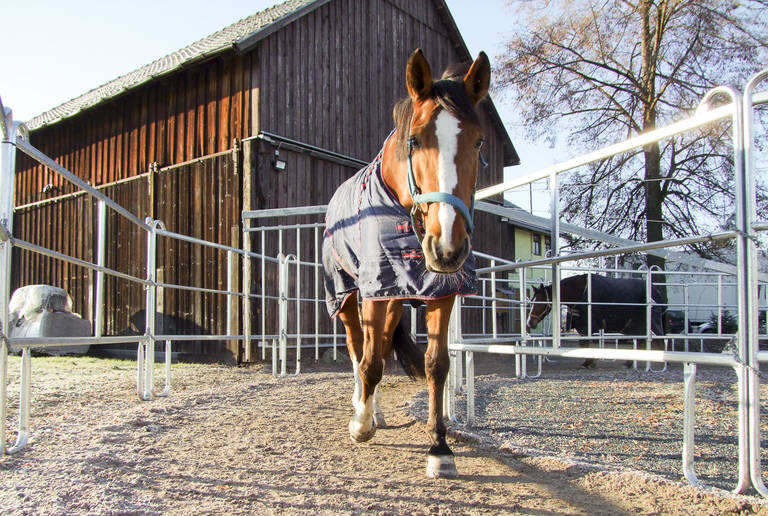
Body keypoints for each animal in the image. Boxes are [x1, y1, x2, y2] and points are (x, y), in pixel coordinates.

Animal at [320, 49, 488, 480]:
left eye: (478, 141)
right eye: (415, 140)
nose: (447, 247)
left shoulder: (441, 291)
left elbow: (436, 366)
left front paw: (439, 447)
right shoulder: (374, 290)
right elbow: (369, 362)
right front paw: (360, 425)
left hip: (393, 299)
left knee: (376, 349)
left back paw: (375, 410)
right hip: (349, 295)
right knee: (358, 351)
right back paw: (363, 409)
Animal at [528, 274, 664, 366]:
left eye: (540, 303)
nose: (530, 323)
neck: (581, 292)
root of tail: (656, 290)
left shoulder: (587, 326)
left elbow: (585, 343)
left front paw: (589, 362)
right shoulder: (582, 326)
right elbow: (583, 344)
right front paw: (588, 362)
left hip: (652, 322)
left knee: (660, 339)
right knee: (642, 341)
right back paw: (630, 363)